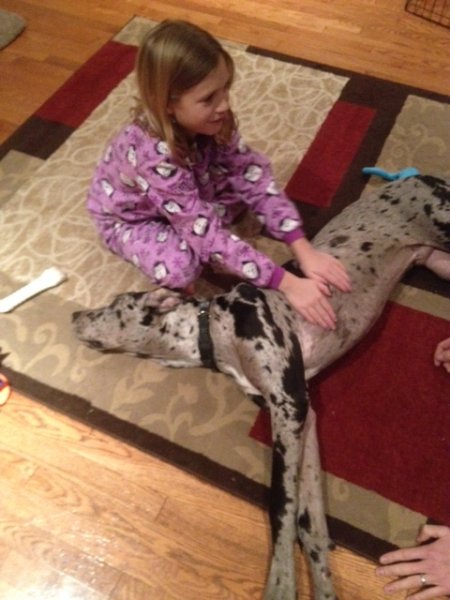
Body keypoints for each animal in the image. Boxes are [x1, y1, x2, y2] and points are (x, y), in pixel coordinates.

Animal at [73, 175, 450, 600]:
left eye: (114, 306)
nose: (74, 314)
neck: (215, 329)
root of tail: (419, 177)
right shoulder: (303, 415)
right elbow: (308, 520)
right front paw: (322, 586)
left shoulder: (289, 404)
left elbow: (280, 506)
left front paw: (281, 581)